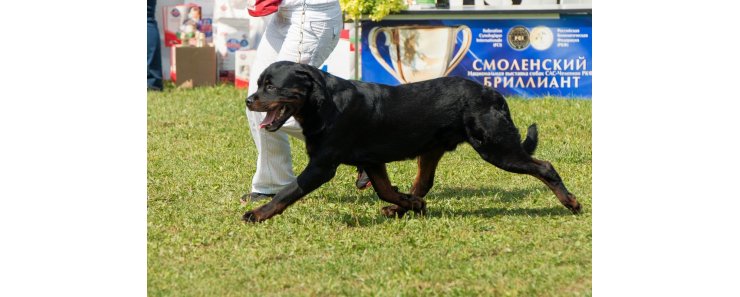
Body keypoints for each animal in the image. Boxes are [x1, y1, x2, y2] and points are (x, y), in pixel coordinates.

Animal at [243, 61, 580, 221]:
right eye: (258, 84)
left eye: (271, 86)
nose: (248, 100)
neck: (322, 104)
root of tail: (494, 93)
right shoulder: (372, 161)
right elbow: (384, 189)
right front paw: (406, 203)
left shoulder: (322, 166)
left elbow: (288, 191)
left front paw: (257, 214)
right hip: (432, 149)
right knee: (424, 183)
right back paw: (406, 207)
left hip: (496, 147)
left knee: (544, 166)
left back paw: (571, 202)